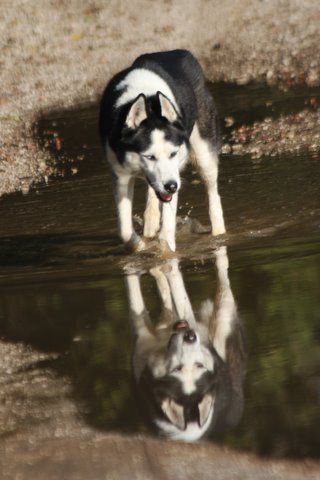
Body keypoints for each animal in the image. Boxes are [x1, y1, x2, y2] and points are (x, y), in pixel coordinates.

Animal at [99, 49, 225, 253]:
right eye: (149, 156)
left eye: (173, 153)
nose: (171, 186)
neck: (148, 105)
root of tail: (181, 52)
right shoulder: (120, 174)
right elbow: (124, 230)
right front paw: (141, 247)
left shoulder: (174, 173)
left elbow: (167, 232)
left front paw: (166, 253)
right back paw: (150, 223)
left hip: (204, 153)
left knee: (213, 192)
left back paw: (219, 234)